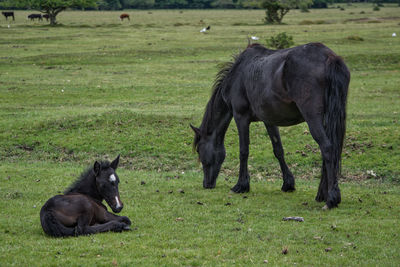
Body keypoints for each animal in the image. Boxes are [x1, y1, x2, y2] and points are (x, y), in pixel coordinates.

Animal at [191, 42, 350, 209]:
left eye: (199, 151)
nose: (206, 184)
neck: (238, 75)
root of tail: (329, 57)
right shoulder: (269, 120)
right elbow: (278, 150)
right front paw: (288, 183)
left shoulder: (241, 117)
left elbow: (244, 151)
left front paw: (241, 185)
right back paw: (322, 194)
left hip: (313, 119)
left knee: (327, 148)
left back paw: (331, 198)